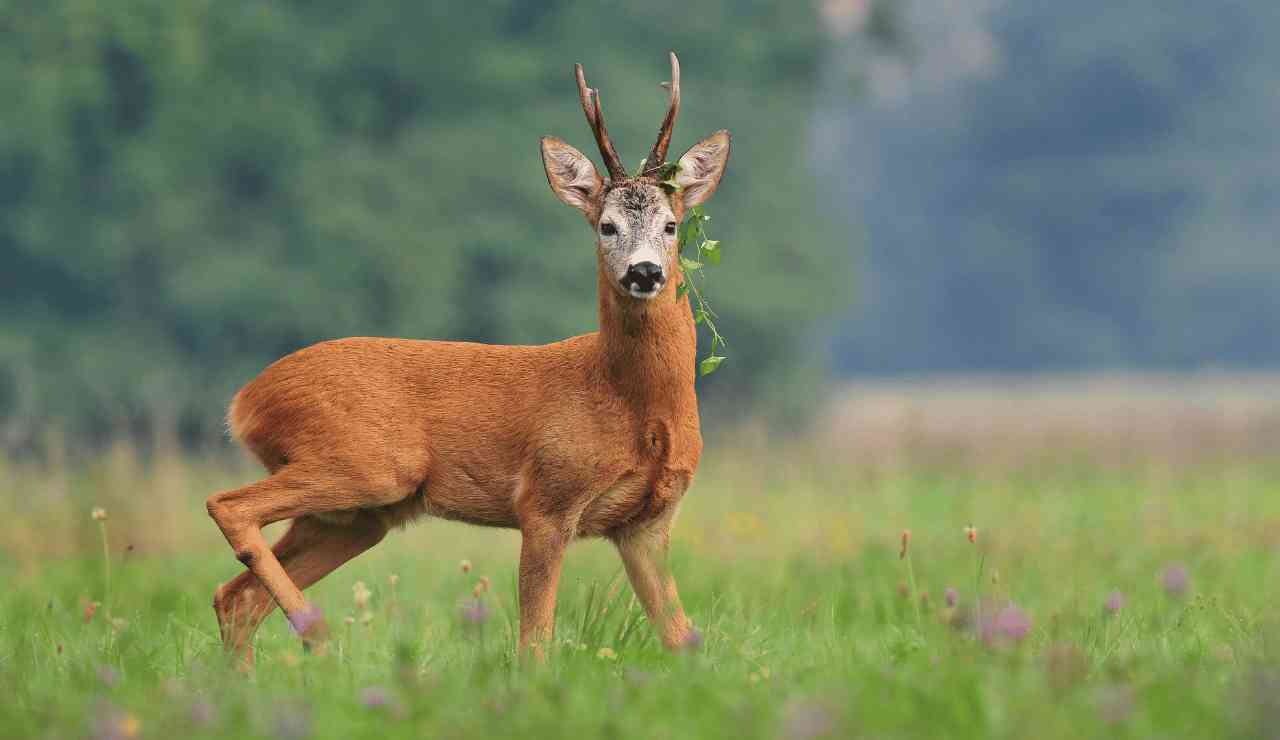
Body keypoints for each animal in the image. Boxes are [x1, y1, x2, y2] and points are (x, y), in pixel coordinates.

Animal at [206, 51, 731, 665]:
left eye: (671, 225)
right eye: (607, 226)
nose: (644, 272)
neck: (632, 404)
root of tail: (245, 401)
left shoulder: (647, 523)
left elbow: (681, 639)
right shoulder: (545, 499)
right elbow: (535, 641)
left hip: (356, 515)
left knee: (235, 596)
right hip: (365, 464)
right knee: (228, 507)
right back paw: (319, 634)